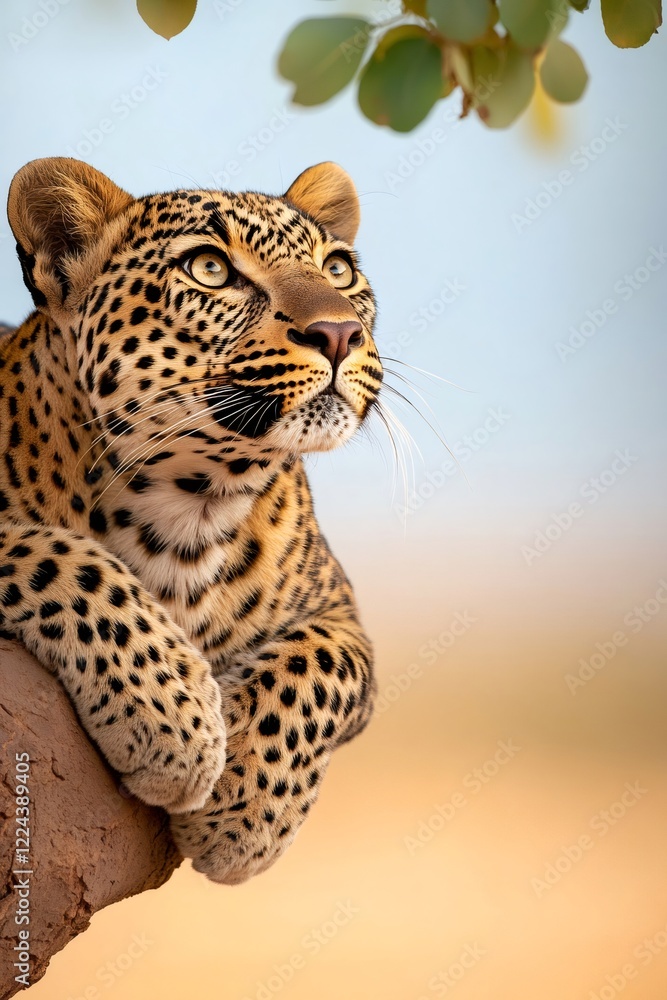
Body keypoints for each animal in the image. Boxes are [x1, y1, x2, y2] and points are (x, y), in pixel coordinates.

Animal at [0, 157, 381, 884]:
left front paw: (243, 812)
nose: (341, 333)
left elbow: (323, 667)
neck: (192, 504)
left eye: (338, 269)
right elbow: (64, 558)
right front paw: (176, 721)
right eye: (209, 269)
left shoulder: (342, 612)